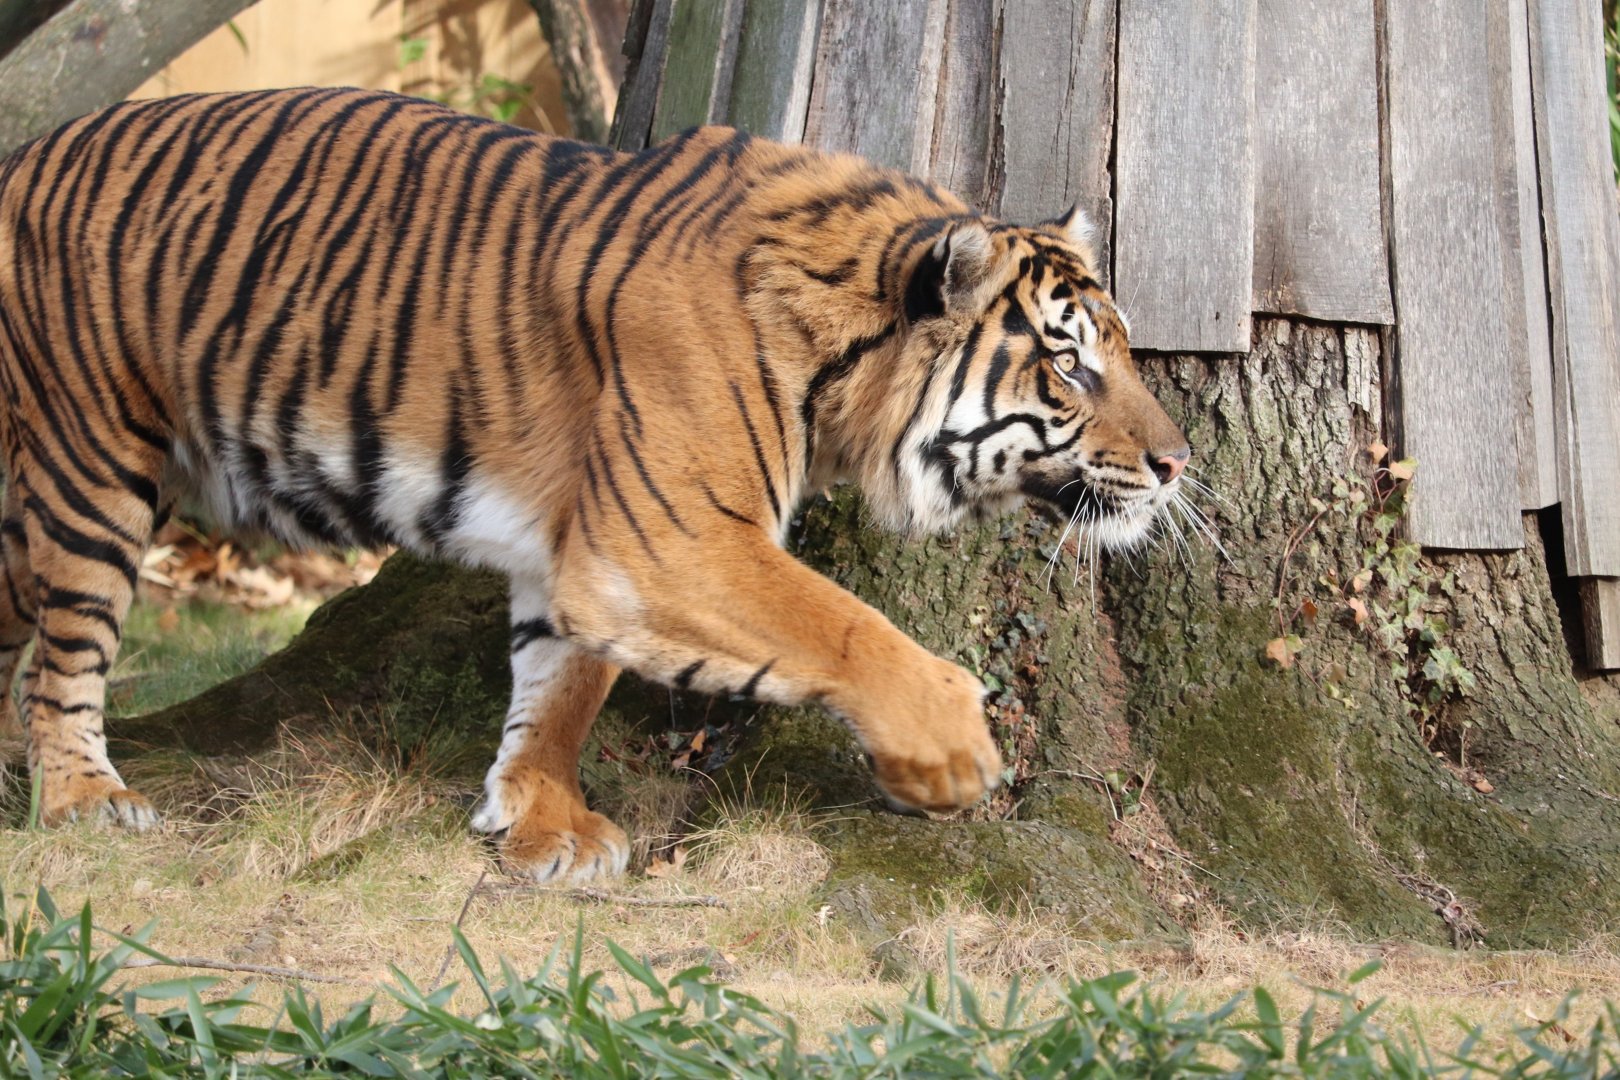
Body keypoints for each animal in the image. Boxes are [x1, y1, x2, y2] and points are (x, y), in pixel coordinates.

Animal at [0, 88, 1190, 883]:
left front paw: (537, 822)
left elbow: (561, 680)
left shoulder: (584, 538)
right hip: (92, 466)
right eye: (1071, 364)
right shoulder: (672, 537)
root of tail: (26, 149)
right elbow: (844, 625)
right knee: (61, 659)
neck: (844, 351)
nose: (1178, 465)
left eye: (1123, 351)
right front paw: (952, 758)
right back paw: (85, 801)